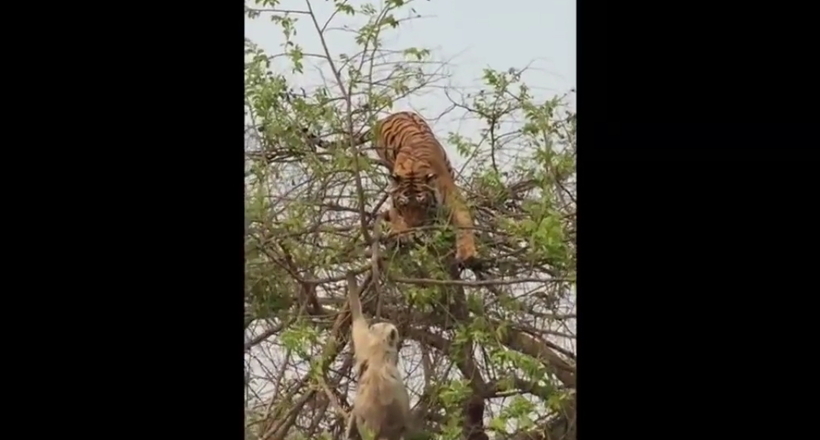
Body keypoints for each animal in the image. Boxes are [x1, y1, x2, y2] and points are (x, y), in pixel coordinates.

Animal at [308, 111, 478, 266]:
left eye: (422, 204)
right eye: (404, 206)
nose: (414, 227)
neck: (414, 170)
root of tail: (385, 118)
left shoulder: (451, 196)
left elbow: (463, 221)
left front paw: (466, 252)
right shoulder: (394, 198)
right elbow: (395, 216)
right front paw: (401, 233)